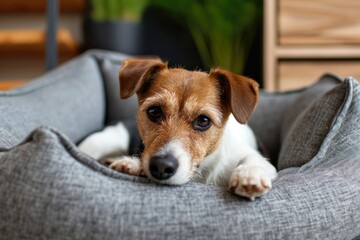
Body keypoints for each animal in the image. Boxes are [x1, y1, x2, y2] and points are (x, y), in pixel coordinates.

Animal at [78, 58, 276, 201]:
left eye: (203, 120)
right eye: (154, 111)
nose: (161, 166)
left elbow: (253, 159)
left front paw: (249, 174)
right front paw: (134, 165)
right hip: (100, 141)